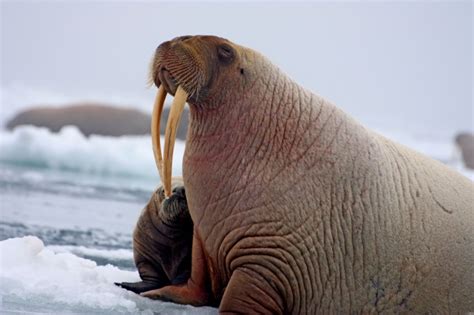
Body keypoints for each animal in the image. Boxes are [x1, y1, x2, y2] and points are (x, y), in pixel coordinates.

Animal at [146, 35, 472, 314]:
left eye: (226, 51)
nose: (174, 41)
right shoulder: (203, 236)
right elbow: (196, 280)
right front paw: (158, 292)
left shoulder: (270, 259)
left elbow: (241, 296)